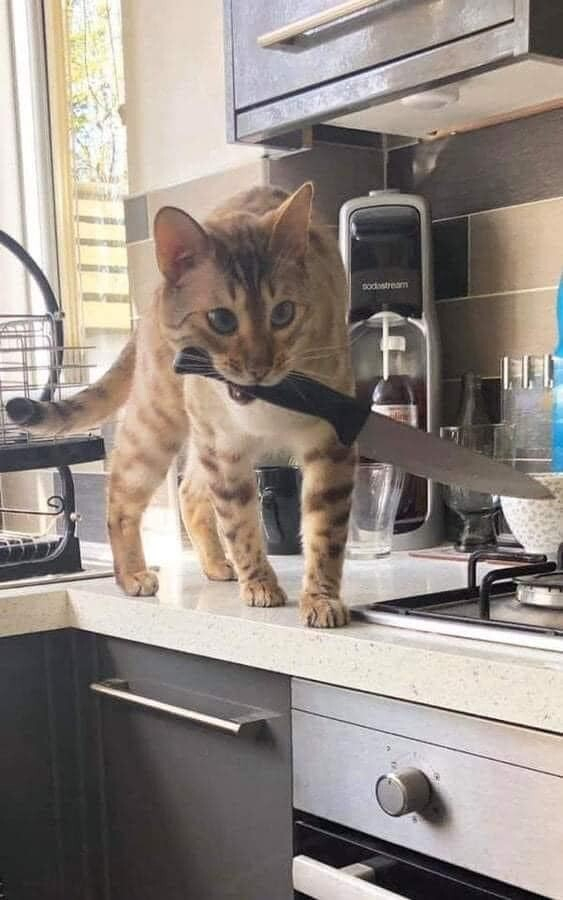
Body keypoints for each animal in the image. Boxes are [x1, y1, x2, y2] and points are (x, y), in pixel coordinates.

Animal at [9, 185, 356, 624]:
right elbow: (241, 526)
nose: (259, 367)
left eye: (283, 313)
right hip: (158, 427)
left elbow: (325, 532)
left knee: (189, 493)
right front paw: (260, 585)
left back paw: (216, 565)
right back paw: (133, 575)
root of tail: (151, 303)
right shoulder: (224, 449)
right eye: (222, 320)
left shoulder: (329, 443)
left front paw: (320, 599)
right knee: (120, 497)